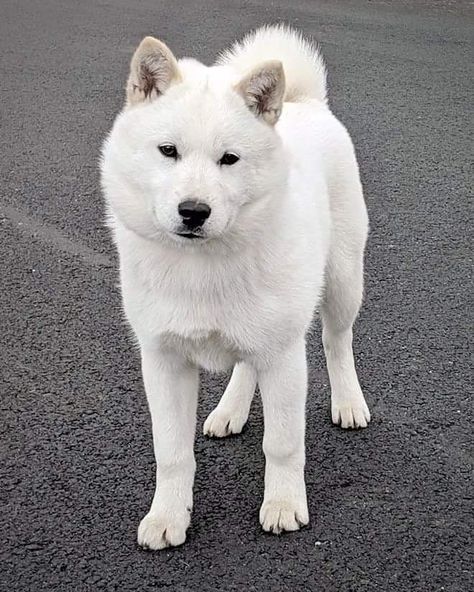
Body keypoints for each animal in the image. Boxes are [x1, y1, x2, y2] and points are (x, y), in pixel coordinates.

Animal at [102, 24, 372, 552]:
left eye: (229, 159)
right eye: (168, 151)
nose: (193, 211)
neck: (200, 268)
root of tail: (305, 102)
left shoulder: (285, 358)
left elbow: (283, 443)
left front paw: (284, 505)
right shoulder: (163, 361)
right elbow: (171, 452)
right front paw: (168, 515)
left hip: (343, 281)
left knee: (337, 341)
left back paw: (349, 402)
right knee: (246, 364)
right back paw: (230, 410)